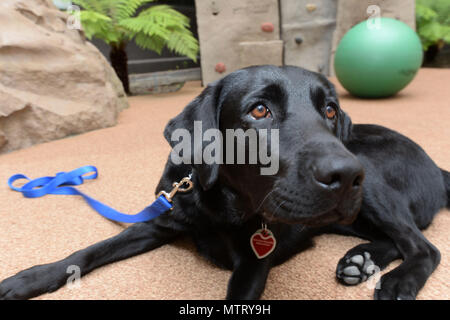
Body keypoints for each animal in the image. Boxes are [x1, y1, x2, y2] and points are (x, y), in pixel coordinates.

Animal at [0, 65, 450, 300]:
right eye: (259, 110)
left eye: (330, 110)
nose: (345, 174)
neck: (221, 205)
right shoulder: (160, 219)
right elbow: (89, 250)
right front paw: (28, 279)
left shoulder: (255, 260)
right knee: (398, 238)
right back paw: (362, 260)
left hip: (371, 184)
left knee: (423, 246)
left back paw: (396, 280)